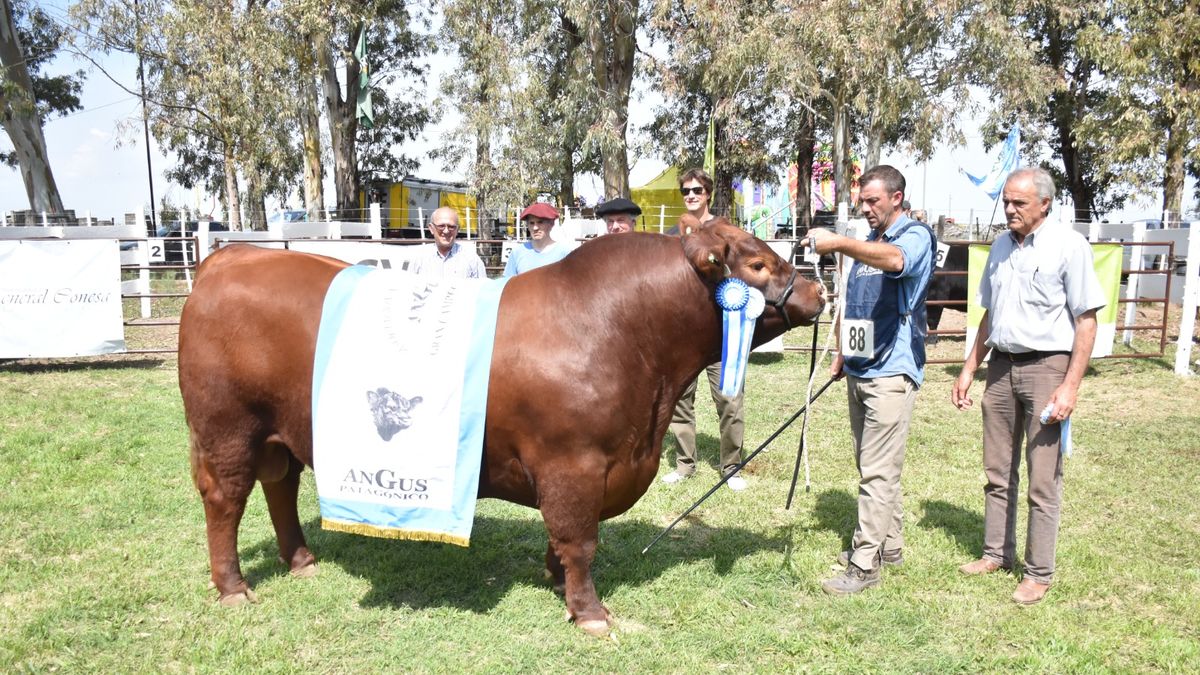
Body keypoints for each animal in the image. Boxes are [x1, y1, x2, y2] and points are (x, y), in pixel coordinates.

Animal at [177, 218, 825, 634]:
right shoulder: (573, 464)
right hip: (226, 428)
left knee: (280, 486)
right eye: (757, 264)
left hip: (279, 431)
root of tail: (233, 256)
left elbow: (565, 538)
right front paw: (589, 613)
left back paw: (302, 560)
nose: (819, 290)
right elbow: (580, 539)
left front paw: (555, 580)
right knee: (226, 499)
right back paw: (233, 588)